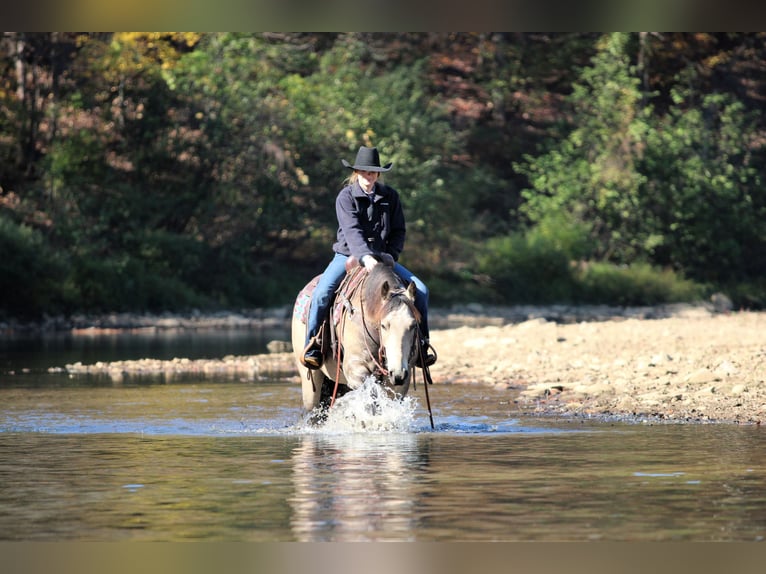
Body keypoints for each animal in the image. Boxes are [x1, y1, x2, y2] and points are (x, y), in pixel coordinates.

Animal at [291, 259, 421, 414]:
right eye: (384, 325)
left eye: (413, 325)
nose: (398, 373)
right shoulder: (355, 369)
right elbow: (371, 395)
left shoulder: (401, 381)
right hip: (310, 385)